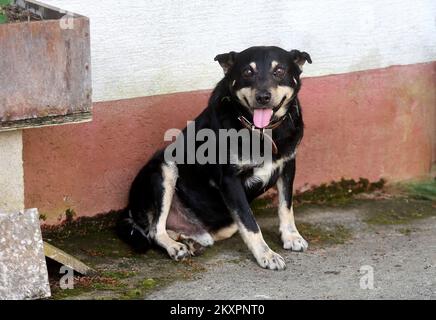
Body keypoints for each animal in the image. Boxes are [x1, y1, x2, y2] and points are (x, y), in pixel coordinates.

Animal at [117, 45, 312, 270]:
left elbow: (285, 207)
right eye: (247, 72)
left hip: (225, 223)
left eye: (279, 71)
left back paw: (188, 241)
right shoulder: (230, 180)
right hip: (166, 168)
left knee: (195, 233)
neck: (262, 131)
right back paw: (175, 246)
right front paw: (267, 255)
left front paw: (291, 237)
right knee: (154, 230)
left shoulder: (288, 166)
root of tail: (129, 209)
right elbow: (250, 223)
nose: (263, 96)